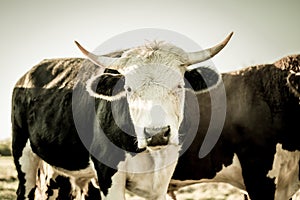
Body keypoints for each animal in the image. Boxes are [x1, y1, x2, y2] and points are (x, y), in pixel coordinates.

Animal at [11, 32, 232, 199]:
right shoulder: (108, 175)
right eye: (128, 88)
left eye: (179, 85)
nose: (156, 133)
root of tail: (27, 75)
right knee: (25, 190)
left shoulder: (161, 180)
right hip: (23, 153)